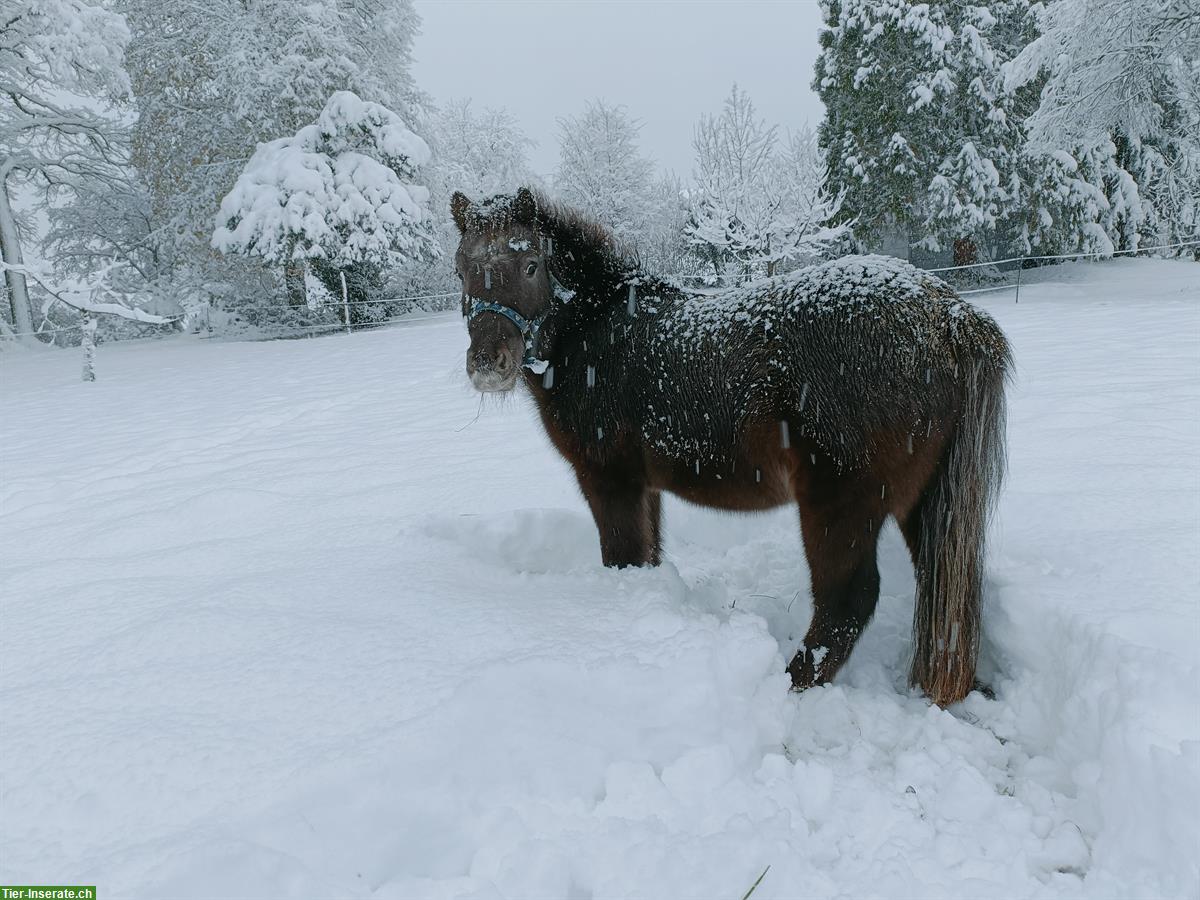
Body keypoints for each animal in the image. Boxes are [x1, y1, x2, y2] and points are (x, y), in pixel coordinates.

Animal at [453, 188, 1008, 710]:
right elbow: (649, 554)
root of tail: (948, 315)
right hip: (924, 503)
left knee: (847, 601)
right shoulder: (644, 489)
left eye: (530, 264)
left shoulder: (608, 481)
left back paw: (789, 683)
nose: (487, 363)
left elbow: (624, 556)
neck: (600, 334)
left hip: (840, 504)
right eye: (461, 269)